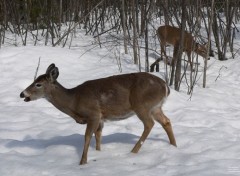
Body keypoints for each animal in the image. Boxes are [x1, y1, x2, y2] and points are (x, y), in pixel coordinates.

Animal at [19, 63, 176, 165]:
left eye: (38, 84)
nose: (22, 94)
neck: (74, 101)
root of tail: (165, 86)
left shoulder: (93, 113)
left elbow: (87, 136)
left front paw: (82, 162)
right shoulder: (101, 118)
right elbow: (98, 135)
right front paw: (98, 153)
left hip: (141, 105)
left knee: (149, 124)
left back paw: (133, 152)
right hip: (156, 107)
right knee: (166, 121)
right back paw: (174, 146)